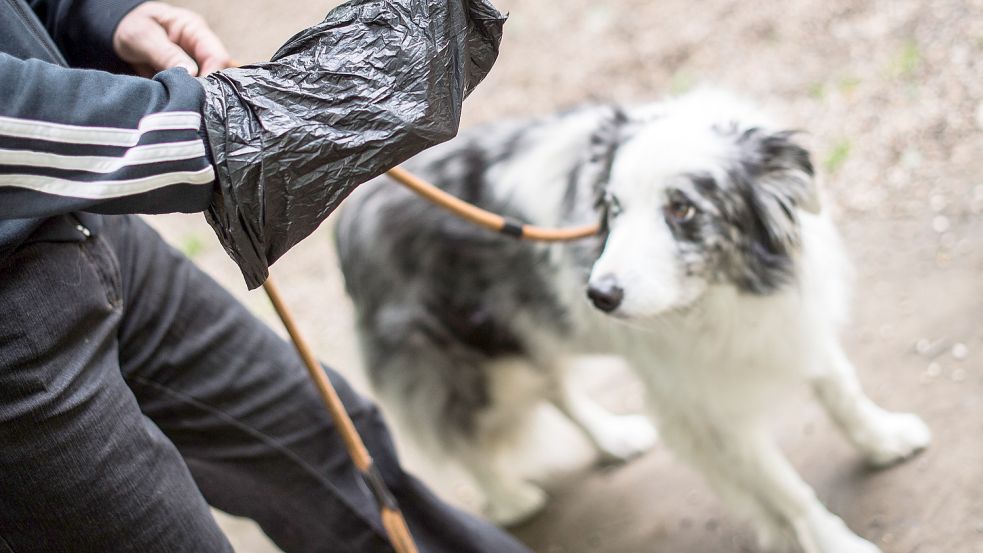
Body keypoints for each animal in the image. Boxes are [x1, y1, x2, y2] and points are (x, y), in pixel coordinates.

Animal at [336, 92, 932, 548]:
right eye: (614, 207)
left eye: (681, 208)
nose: (598, 295)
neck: (725, 293)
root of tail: (347, 212)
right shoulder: (705, 404)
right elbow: (787, 489)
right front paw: (829, 540)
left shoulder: (790, 323)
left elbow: (841, 390)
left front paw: (884, 438)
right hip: (468, 363)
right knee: (452, 436)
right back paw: (510, 498)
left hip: (527, 328)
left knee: (554, 387)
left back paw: (613, 438)